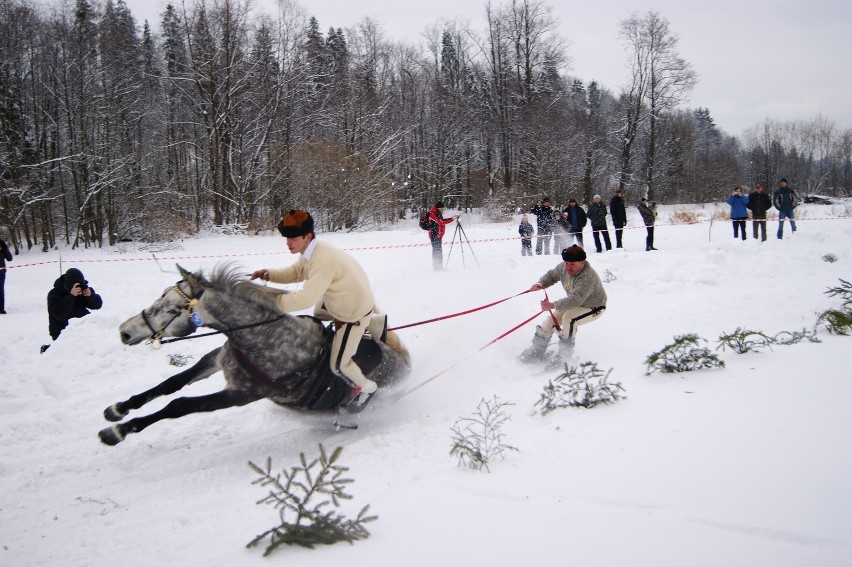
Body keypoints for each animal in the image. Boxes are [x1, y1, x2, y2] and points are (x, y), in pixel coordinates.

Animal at [100, 264, 412, 446]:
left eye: (171, 308)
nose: (125, 332)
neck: (264, 338)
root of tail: (404, 365)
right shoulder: (216, 359)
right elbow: (172, 383)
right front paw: (118, 409)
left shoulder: (241, 394)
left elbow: (180, 404)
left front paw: (119, 431)